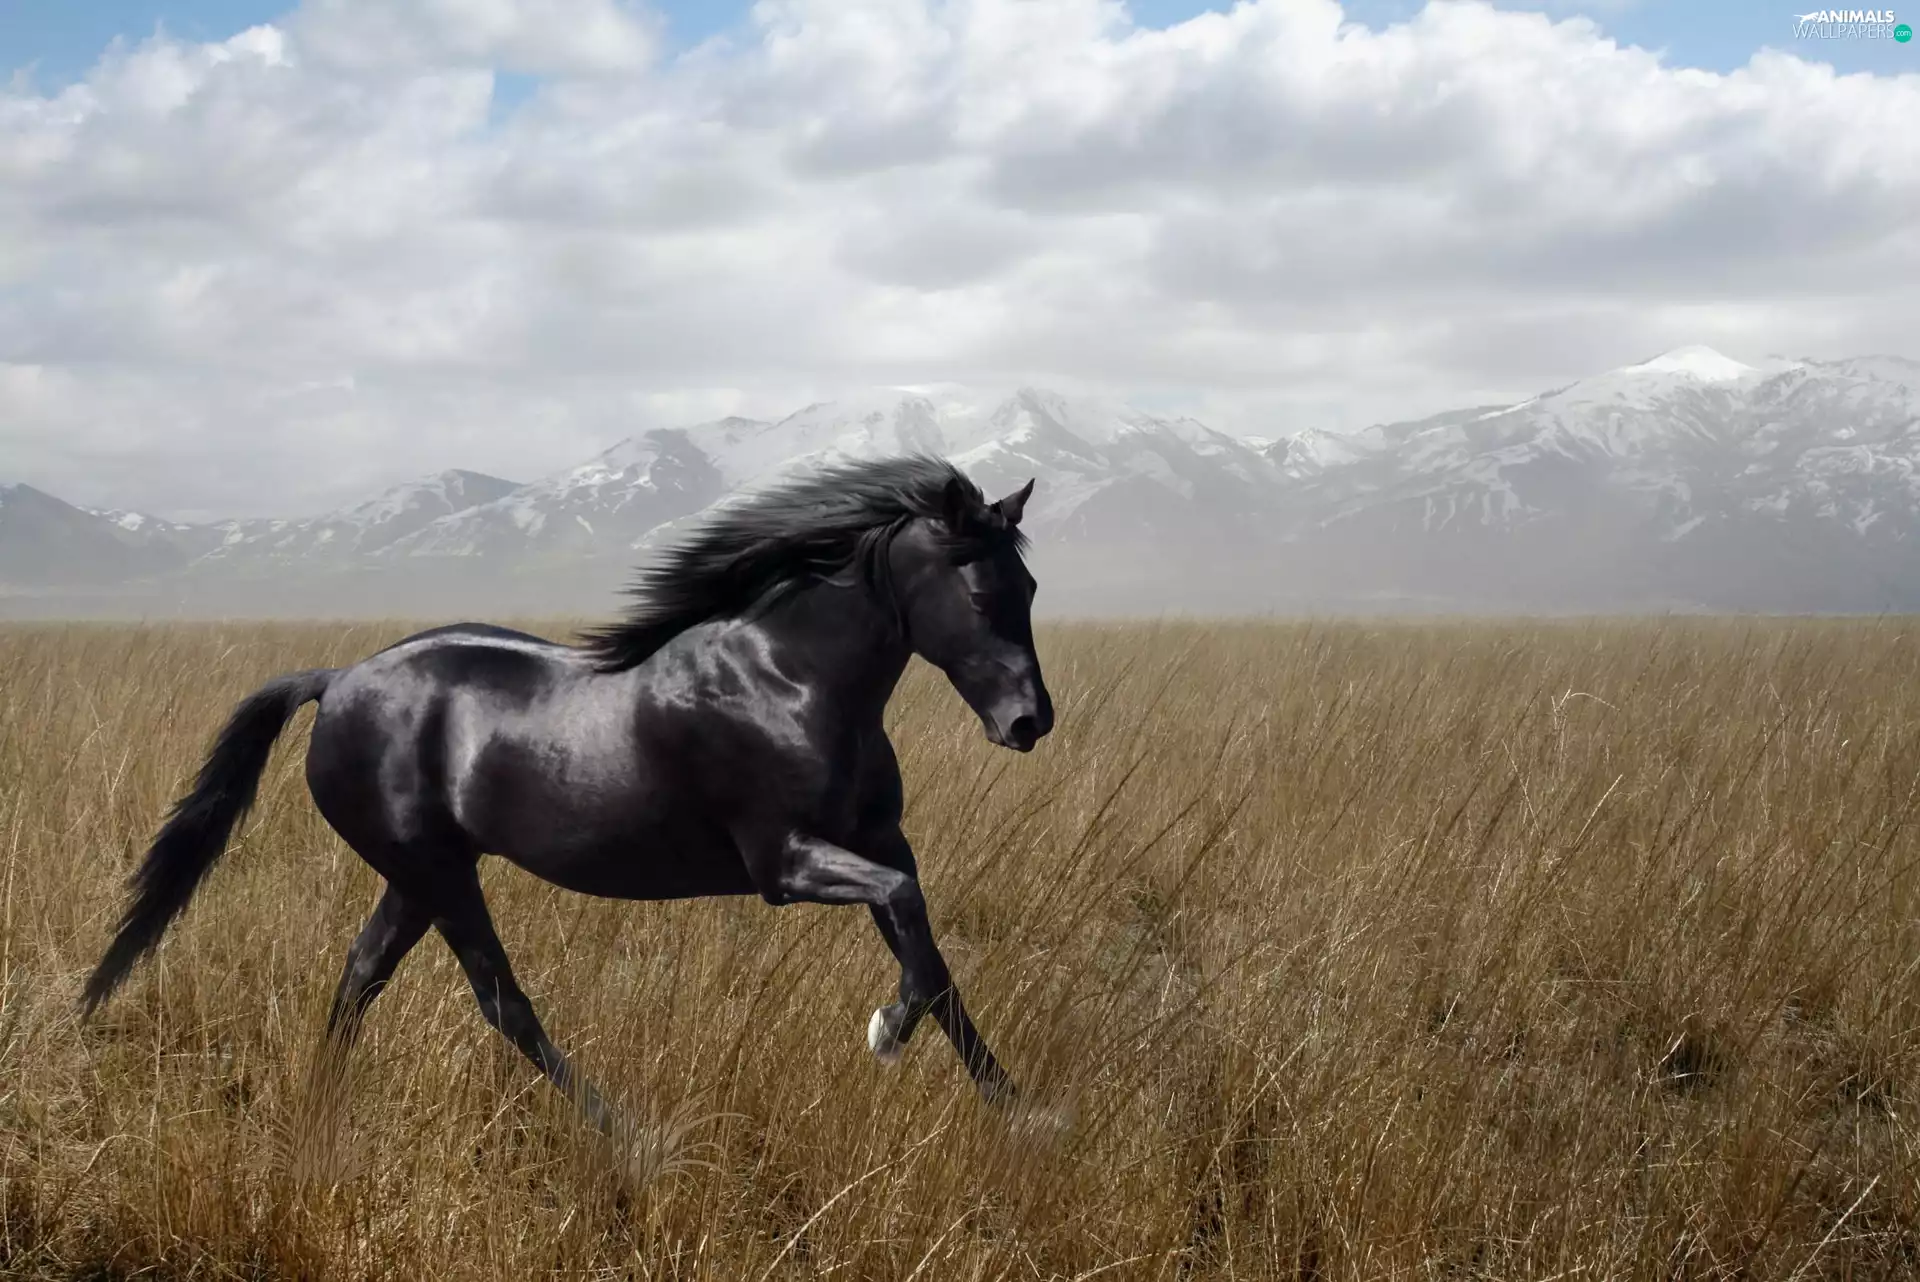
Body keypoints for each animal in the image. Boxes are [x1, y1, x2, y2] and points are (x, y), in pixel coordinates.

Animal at [80, 455, 1055, 1136]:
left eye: (1033, 586)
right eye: (979, 590)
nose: (1030, 721)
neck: (790, 678)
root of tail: (337, 680)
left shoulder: (879, 843)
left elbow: (933, 961)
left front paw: (1029, 1116)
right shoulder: (786, 863)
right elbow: (914, 935)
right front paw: (886, 1030)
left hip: (418, 876)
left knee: (361, 977)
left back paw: (322, 1113)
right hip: (437, 873)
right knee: (502, 1004)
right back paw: (631, 1137)